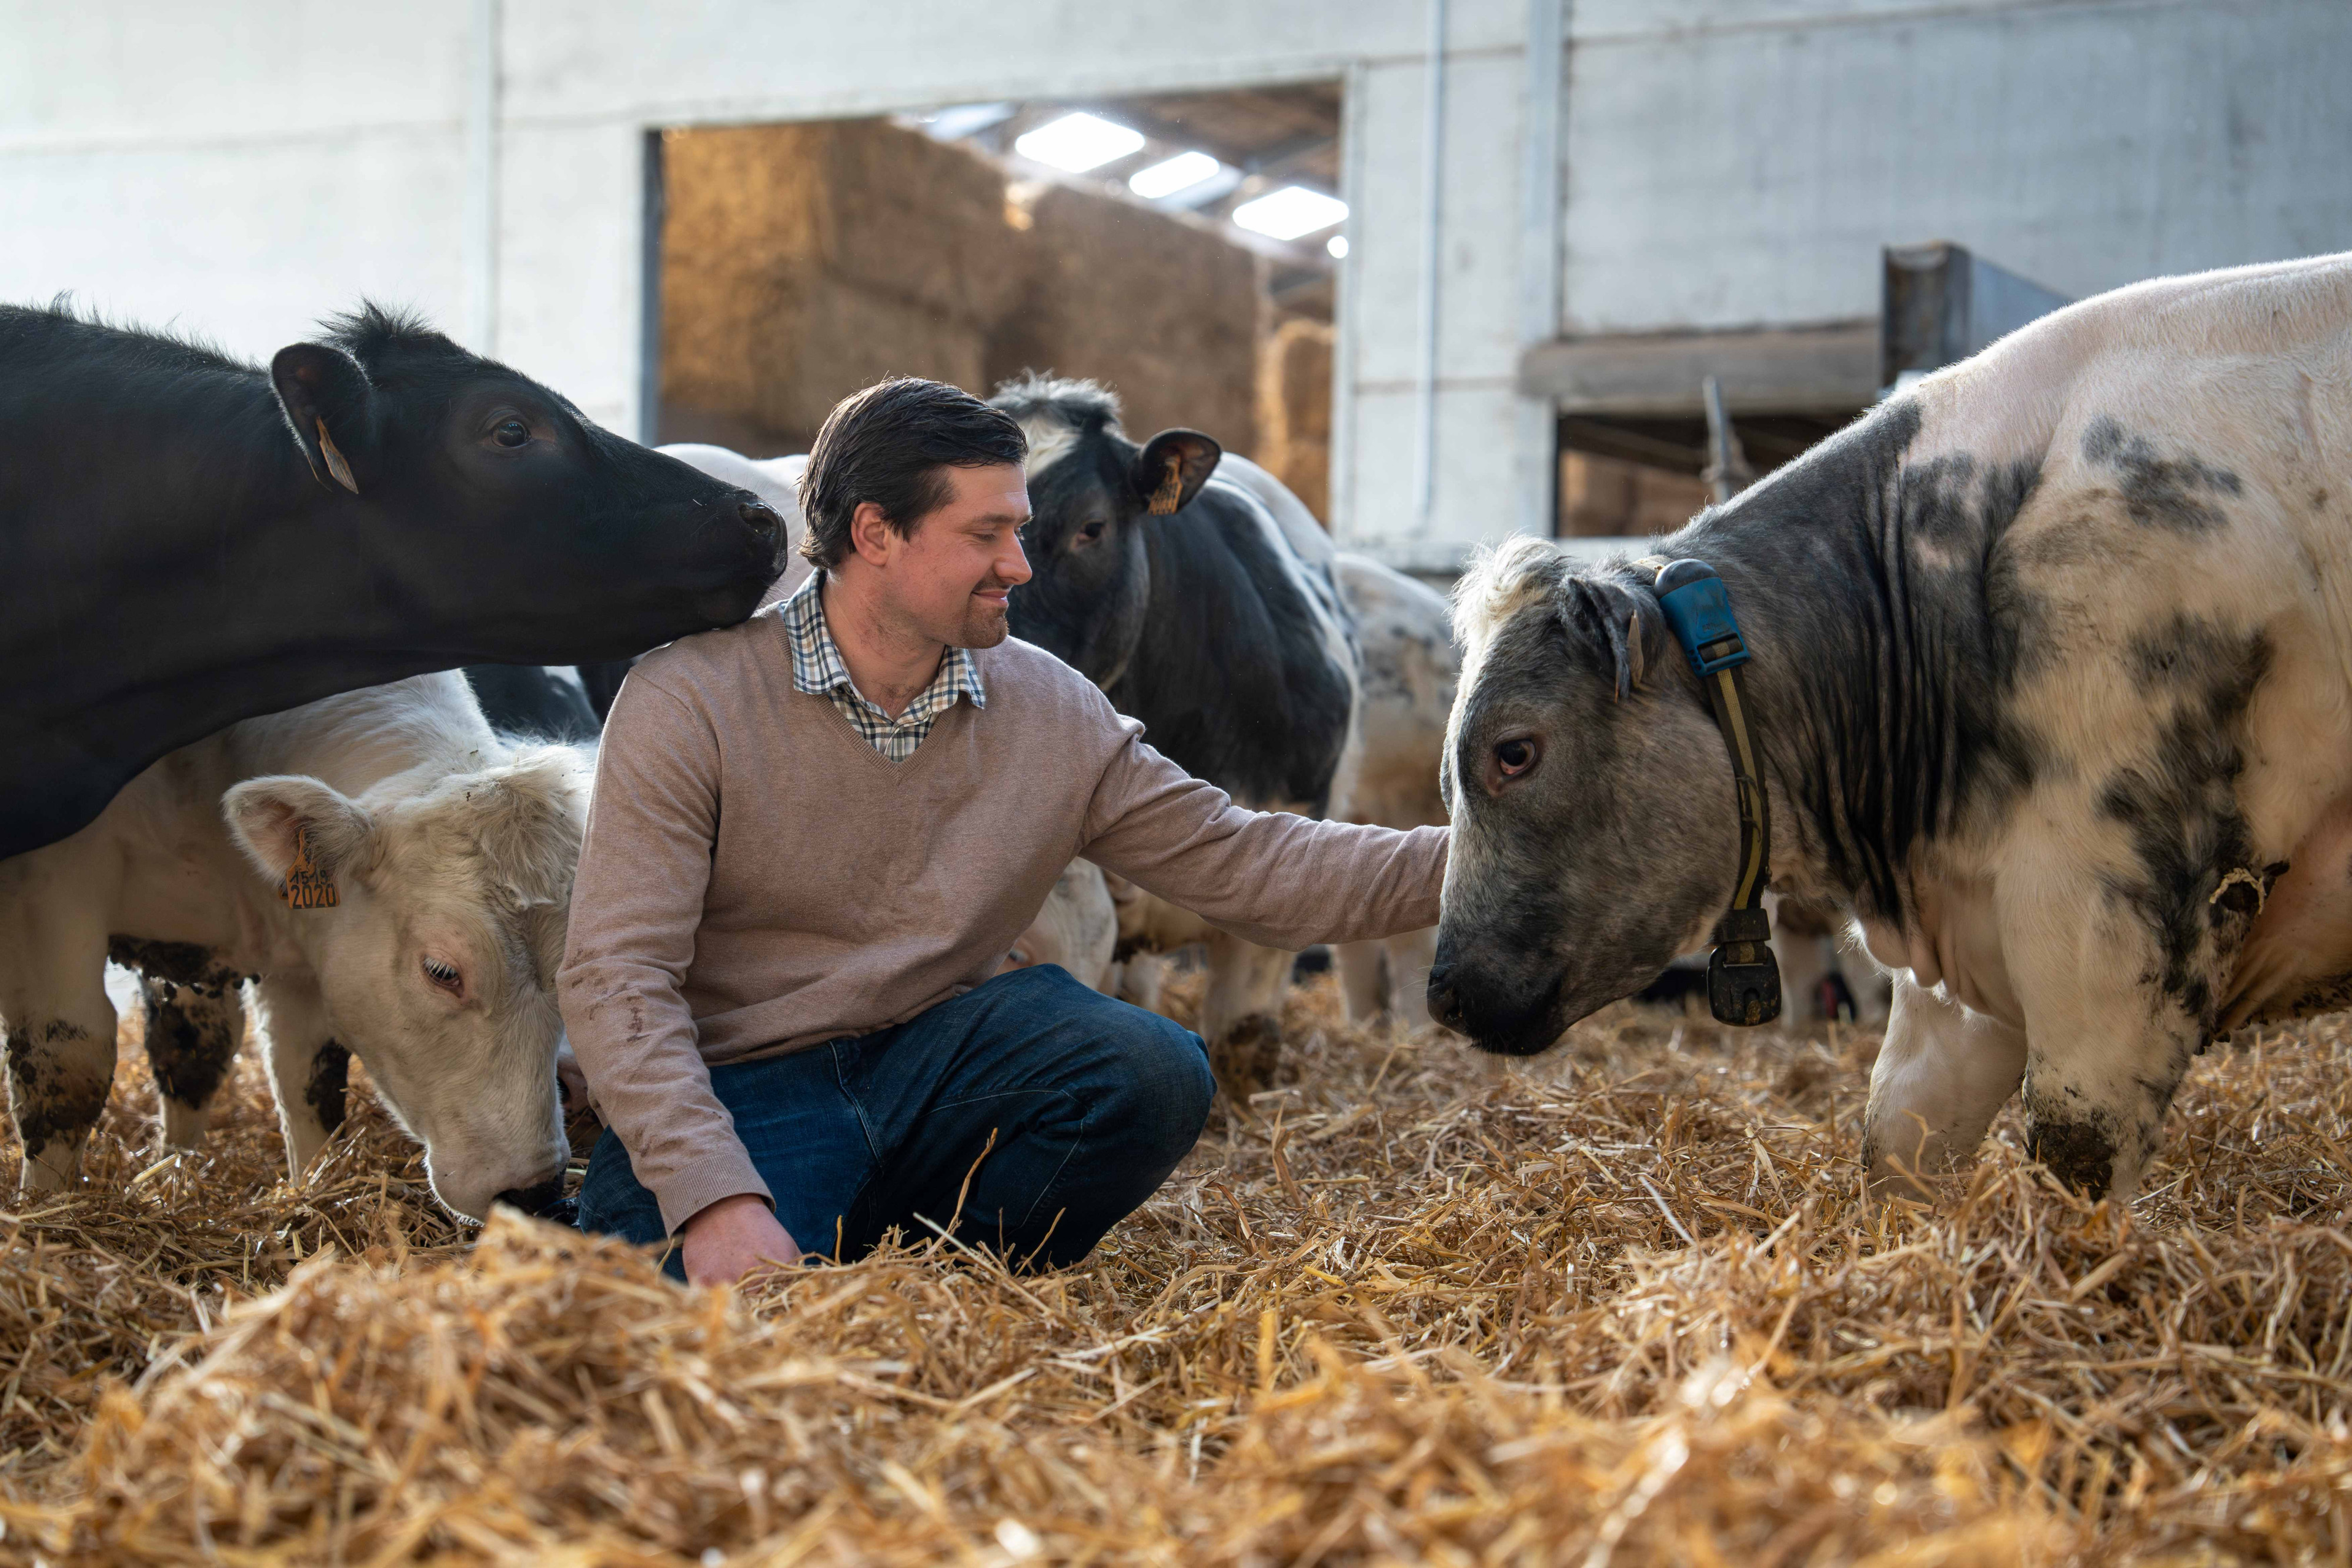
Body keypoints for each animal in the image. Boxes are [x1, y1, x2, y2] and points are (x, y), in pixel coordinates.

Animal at [0, 672, 586, 1213]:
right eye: (441, 971)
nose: (533, 1190)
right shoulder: (51, 881)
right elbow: (68, 1062)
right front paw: (43, 1210)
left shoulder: (302, 955)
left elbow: (306, 1077)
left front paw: (311, 1193)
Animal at [1421, 255, 2352, 1203]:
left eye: (1514, 752)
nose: (1444, 994)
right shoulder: (1966, 970)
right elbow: (1898, 1137)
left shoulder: (2116, 921)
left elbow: (2076, 1153)